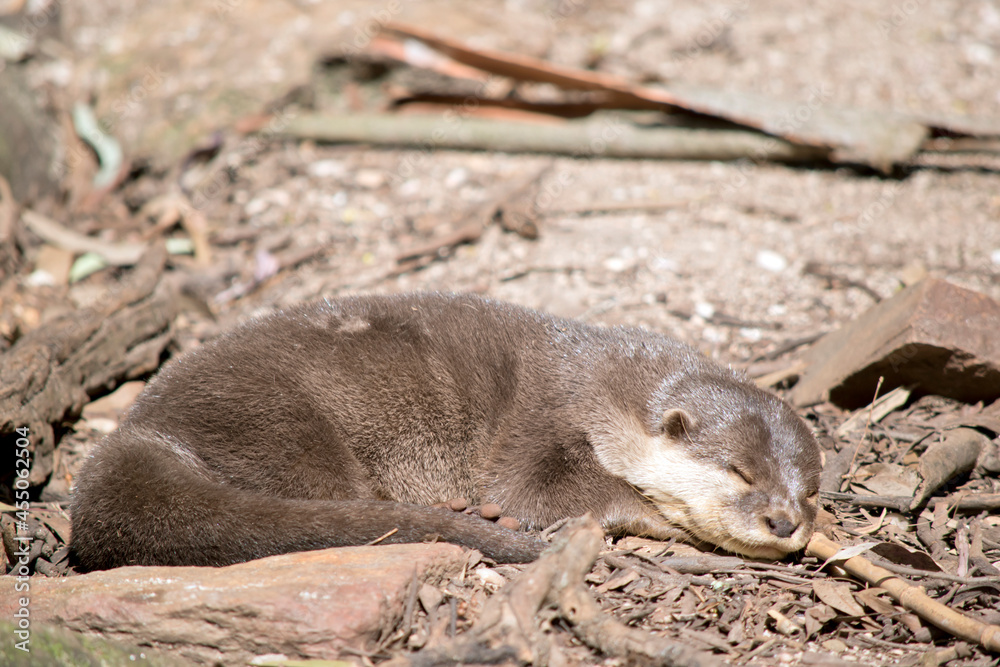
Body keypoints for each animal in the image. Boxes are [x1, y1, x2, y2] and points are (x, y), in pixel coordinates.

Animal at [70, 292, 821, 570]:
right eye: (739, 471)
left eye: (810, 490)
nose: (786, 520)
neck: (606, 394)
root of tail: (135, 435)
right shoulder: (543, 424)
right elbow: (543, 491)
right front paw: (657, 516)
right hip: (277, 422)